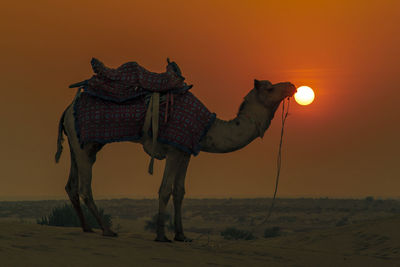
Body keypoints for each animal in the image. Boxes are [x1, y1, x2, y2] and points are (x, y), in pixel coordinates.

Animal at [54, 79, 296, 243]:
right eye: (270, 88)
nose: (292, 86)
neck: (208, 128)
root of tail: (65, 111)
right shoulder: (173, 150)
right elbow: (165, 189)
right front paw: (161, 236)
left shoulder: (185, 152)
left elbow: (179, 191)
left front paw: (182, 235)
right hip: (83, 144)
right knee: (85, 187)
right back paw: (107, 230)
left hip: (80, 144)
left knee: (71, 185)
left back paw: (87, 228)